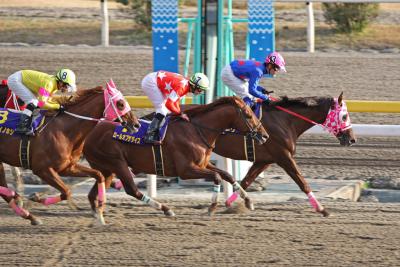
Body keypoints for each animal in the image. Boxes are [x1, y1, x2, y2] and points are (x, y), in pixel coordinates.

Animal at [0, 82, 141, 225]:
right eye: (120, 103)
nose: (136, 125)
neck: (64, 130)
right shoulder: (42, 169)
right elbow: (67, 191)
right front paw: (36, 197)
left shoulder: (67, 167)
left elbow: (99, 175)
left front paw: (100, 212)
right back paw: (18, 199)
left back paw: (29, 214)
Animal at [81, 96, 268, 224]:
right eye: (248, 115)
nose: (265, 136)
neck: (196, 131)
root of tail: (89, 134)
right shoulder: (186, 170)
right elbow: (217, 177)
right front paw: (211, 208)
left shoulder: (203, 164)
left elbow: (227, 175)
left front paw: (248, 201)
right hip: (117, 163)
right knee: (132, 190)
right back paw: (166, 209)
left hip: (107, 169)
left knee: (95, 191)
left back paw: (97, 215)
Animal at [212, 93, 356, 217]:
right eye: (344, 116)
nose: (352, 139)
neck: (284, 121)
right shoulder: (284, 157)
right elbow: (302, 183)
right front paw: (322, 209)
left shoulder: (264, 161)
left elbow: (246, 181)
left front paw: (230, 204)